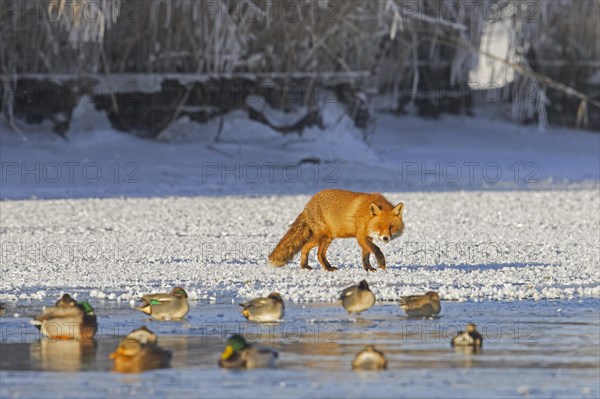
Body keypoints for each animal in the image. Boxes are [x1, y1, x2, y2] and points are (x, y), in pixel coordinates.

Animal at [270, 190, 404, 272]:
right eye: (379, 226)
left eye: (391, 227)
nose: (385, 238)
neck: (367, 216)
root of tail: (307, 205)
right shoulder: (361, 236)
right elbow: (376, 249)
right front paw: (381, 263)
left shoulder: (367, 237)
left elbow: (366, 255)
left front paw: (368, 269)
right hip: (323, 236)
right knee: (314, 251)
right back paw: (325, 268)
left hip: (327, 238)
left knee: (310, 250)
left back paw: (307, 266)